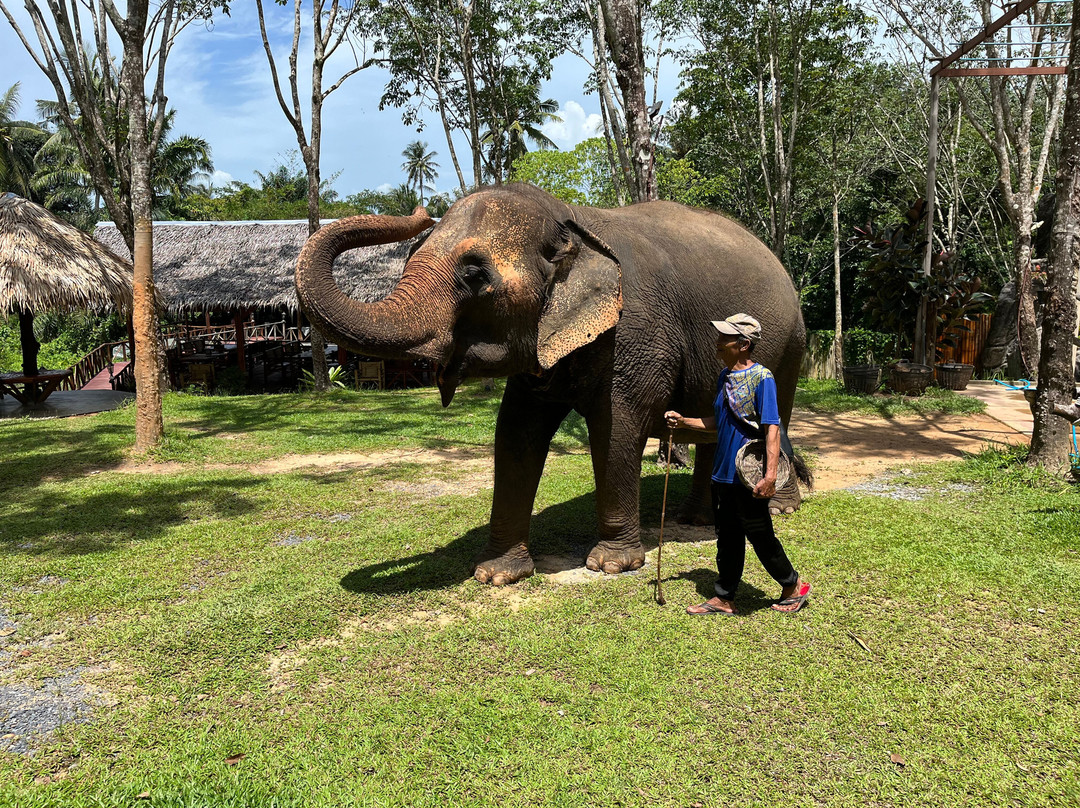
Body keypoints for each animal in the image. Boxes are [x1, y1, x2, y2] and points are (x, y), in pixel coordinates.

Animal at [296, 183, 806, 585]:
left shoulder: (637, 332)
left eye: (474, 274)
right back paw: (697, 519)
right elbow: (515, 432)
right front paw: (496, 574)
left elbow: (618, 429)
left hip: (790, 346)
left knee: (777, 413)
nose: (420, 210)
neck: (572, 219)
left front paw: (612, 566)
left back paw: (780, 508)